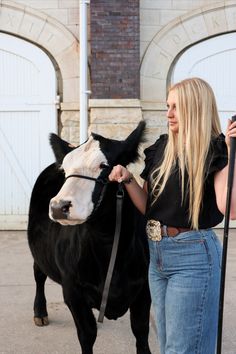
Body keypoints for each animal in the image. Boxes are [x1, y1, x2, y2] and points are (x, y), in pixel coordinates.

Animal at [27, 120, 152, 352]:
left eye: (104, 166)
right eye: (65, 169)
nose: (58, 206)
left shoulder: (144, 289)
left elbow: (141, 331)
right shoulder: (73, 291)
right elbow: (87, 334)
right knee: (38, 273)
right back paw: (40, 312)